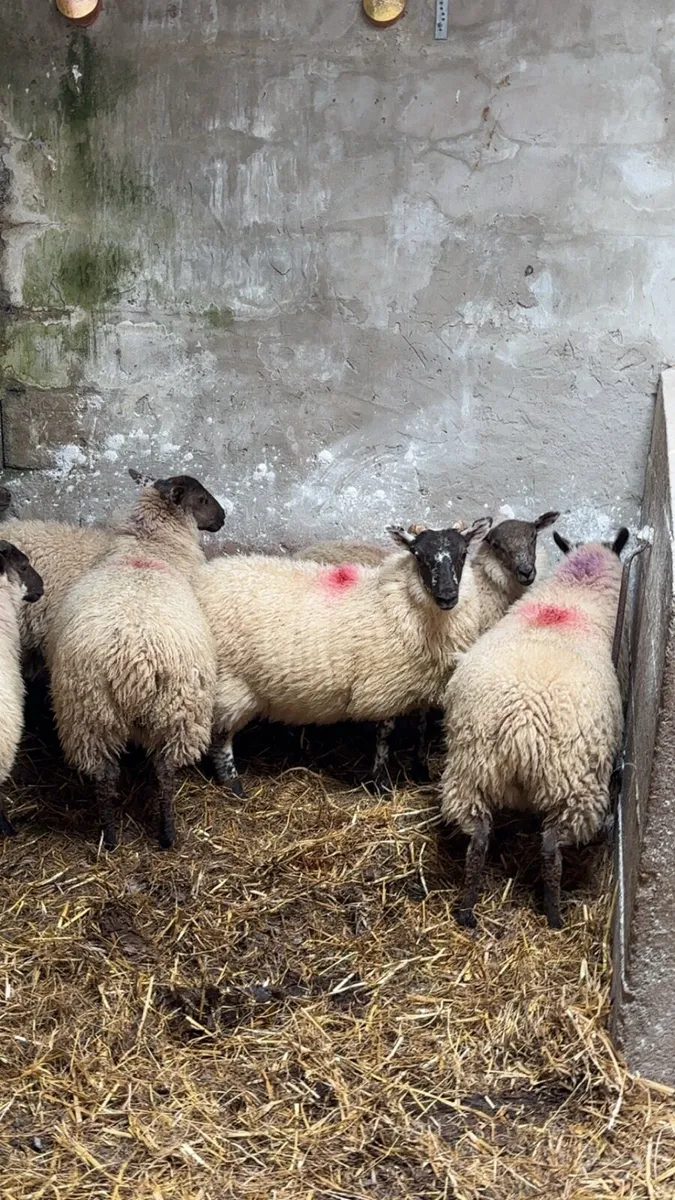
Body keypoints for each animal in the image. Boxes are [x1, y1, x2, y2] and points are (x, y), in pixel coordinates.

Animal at [47, 470, 225, 851]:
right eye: (202, 499)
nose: (223, 518)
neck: (148, 544)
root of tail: (134, 662)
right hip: (180, 711)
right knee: (165, 771)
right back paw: (168, 833)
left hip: (90, 716)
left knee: (104, 775)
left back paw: (111, 836)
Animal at [194, 518, 492, 796]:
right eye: (418, 555)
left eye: (463, 553)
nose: (447, 596)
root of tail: (201, 578)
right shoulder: (385, 688)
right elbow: (385, 736)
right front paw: (381, 783)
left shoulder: (420, 686)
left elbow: (421, 729)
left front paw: (420, 770)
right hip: (231, 681)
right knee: (221, 738)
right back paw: (234, 786)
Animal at [440, 527, 629, 929]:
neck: (574, 590)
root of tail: (521, 725)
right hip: (575, 788)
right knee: (550, 847)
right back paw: (554, 914)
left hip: (469, 771)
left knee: (478, 839)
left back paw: (466, 909)